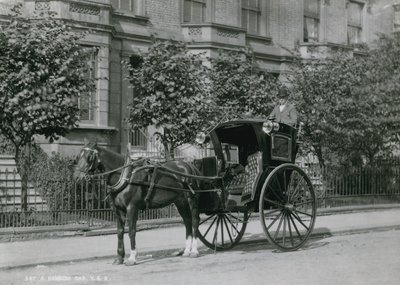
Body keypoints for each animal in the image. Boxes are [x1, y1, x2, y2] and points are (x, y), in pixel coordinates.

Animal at [72, 141, 200, 264]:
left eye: (89, 157)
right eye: (78, 157)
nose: (76, 177)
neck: (126, 176)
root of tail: (189, 165)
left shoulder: (132, 208)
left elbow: (132, 231)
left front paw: (132, 258)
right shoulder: (118, 210)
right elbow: (120, 232)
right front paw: (119, 258)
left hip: (191, 200)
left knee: (194, 221)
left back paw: (194, 251)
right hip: (180, 201)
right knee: (187, 221)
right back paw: (186, 251)